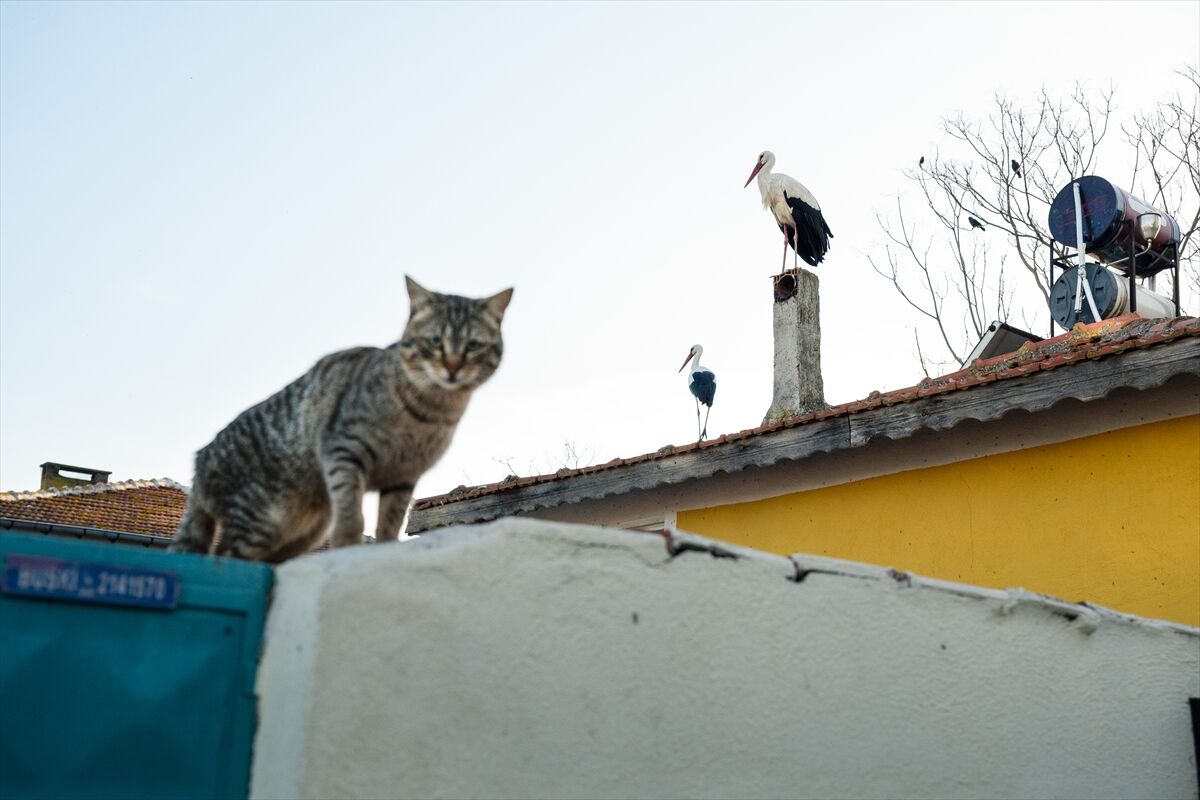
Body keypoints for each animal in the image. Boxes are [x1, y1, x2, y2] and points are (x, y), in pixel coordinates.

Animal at [169, 276, 513, 562]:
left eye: (473, 346)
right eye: (435, 342)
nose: (452, 367)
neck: (431, 412)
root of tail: (200, 460)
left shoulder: (403, 475)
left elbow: (389, 522)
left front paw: (385, 548)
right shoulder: (343, 451)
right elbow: (351, 517)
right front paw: (349, 547)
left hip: (299, 532)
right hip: (260, 519)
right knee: (223, 558)